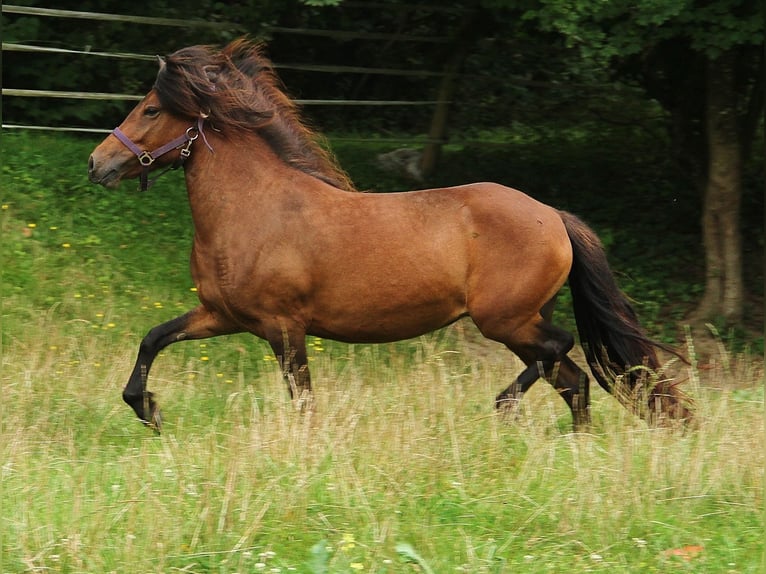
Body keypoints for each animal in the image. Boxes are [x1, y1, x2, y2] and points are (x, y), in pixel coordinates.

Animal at [87, 38, 692, 432]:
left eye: (152, 109)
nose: (98, 163)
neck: (256, 208)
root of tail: (553, 215)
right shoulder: (223, 316)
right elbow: (153, 338)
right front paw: (149, 409)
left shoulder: (284, 328)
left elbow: (303, 401)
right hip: (518, 321)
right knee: (574, 380)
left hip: (505, 319)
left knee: (559, 351)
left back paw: (503, 406)